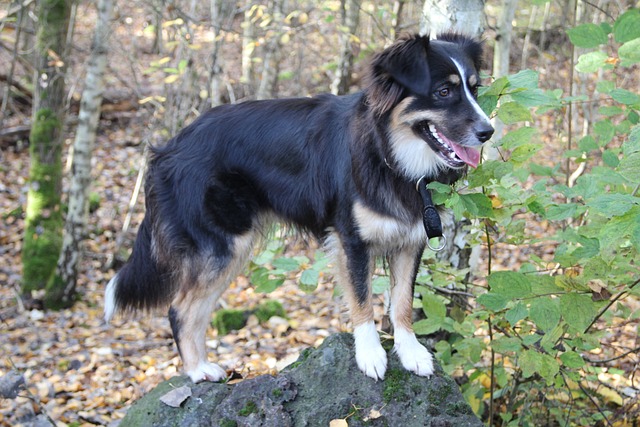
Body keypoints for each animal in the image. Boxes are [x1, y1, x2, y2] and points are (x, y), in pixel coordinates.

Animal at [106, 31, 496, 382]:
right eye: (443, 92)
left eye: (474, 90)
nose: (488, 132)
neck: (390, 154)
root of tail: (168, 149)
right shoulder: (351, 240)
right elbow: (362, 301)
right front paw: (370, 355)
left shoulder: (410, 239)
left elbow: (401, 302)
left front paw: (410, 352)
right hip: (221, 245)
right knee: (179, 309)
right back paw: (197, 370)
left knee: (195, 310)